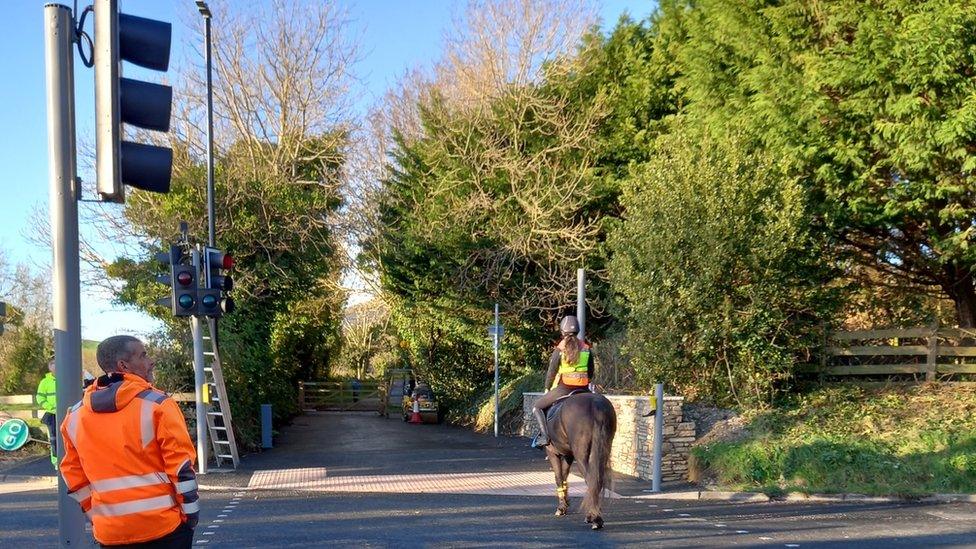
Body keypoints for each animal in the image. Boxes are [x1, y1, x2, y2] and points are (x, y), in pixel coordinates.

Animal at [540, 390, 616, 528]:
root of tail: (595, 403)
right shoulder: (568, 455)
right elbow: (564, 477)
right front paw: (565, 503)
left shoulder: (553, 453)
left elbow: (558, 478)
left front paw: (561, 508)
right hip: (603, 449)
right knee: (597, 480)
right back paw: (595, 515)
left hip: (581, 454)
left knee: (591, 479)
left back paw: (594, 518)